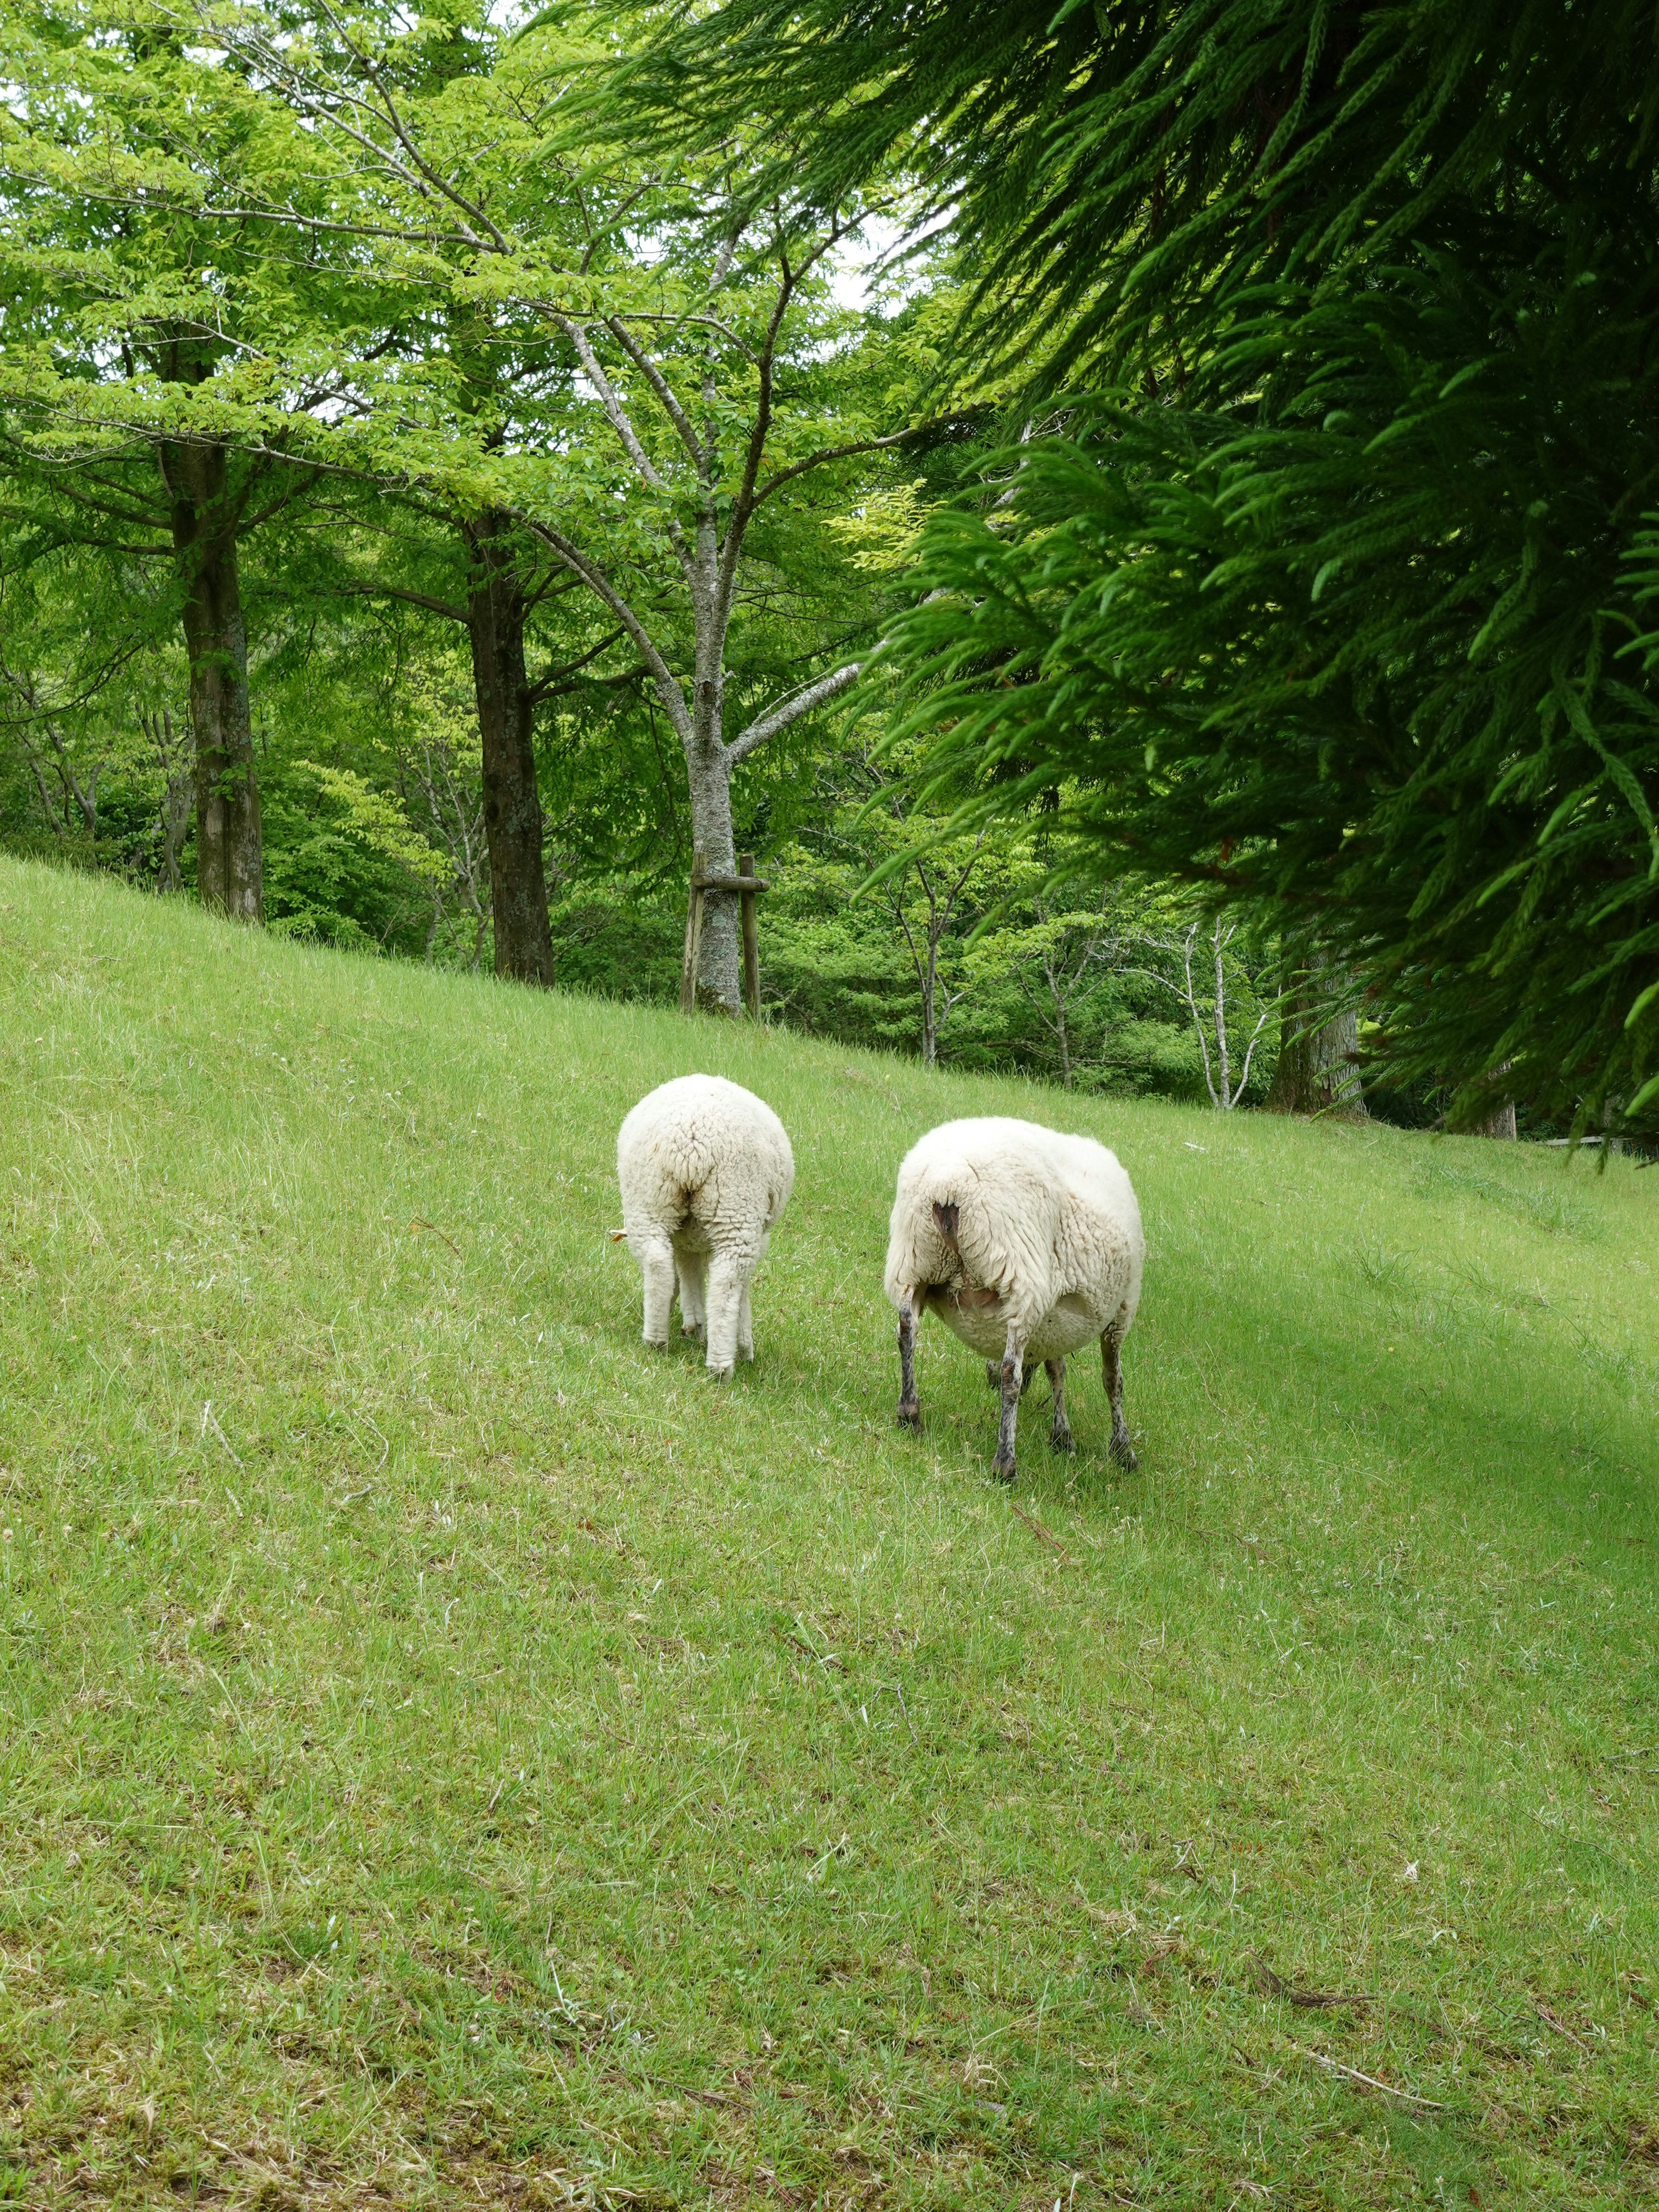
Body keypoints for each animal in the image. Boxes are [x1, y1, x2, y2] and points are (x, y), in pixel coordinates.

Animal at [619, 1075, 801, 1371]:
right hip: (736, 1204)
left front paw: (693, 1324)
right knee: (726, 1280)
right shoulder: (755, 1239)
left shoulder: (686, 1240)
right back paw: (721, 1364)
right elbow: (741, 1285)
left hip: (650, 1199)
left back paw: (656, 1339)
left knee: (657, 1263)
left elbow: (686, 1272)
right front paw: (743, 1344)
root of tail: (690, 1146)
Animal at [889, 1115, 1150, 1478]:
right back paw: (1005, 1461)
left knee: (906, 1332)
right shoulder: (1121, 1311)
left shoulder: (1055, 1318)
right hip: (1018, 1278)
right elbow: (1113, 1379)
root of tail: (948, 1184)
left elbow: (1057, 1369)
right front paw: (1123, 1450)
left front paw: (1063, 1436)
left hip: (912, 1263)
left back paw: (910, 1413)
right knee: (1009, 1372)